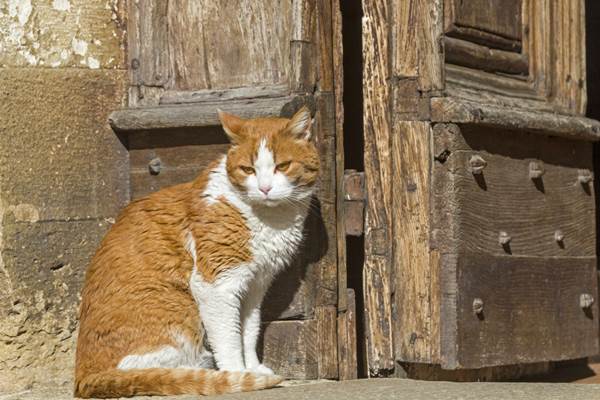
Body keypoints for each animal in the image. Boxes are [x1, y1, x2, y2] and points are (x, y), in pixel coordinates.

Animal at [74, 106, 318, 396]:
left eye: (282, 166)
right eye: (248, 169)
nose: (265, 188)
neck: (272, 218)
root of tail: (83, 375)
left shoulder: (256, 285)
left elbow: (248, 332)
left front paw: (253, 368)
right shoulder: (217, 284)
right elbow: (229, 338)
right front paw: (237, 374)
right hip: (176, 314)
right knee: (143, 372)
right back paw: (196, 374)